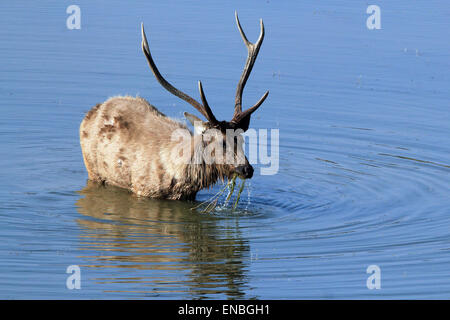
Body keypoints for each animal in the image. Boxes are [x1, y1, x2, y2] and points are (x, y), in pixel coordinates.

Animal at [78, 13, 268, 201]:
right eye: (221, 142)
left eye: (242, 139)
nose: (247, 169)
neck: (179, 178)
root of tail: (94, 110)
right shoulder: (141, 189)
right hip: (92, 170)